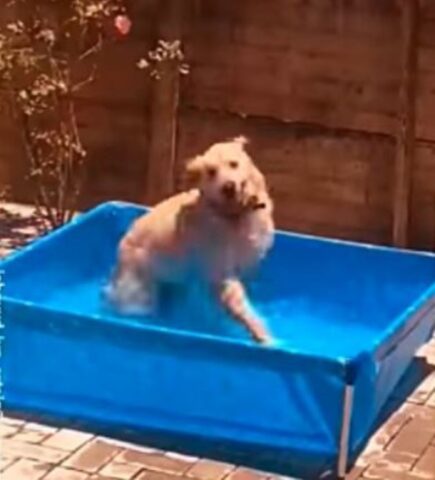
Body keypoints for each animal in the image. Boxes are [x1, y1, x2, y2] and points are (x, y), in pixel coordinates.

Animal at [105, 137, 274, 344]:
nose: (228, 186)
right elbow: (240, 306)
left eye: (233, 164)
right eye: (211, 172)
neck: (233, 216)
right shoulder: (218, 273)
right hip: (139, 288)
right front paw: (262, 333)